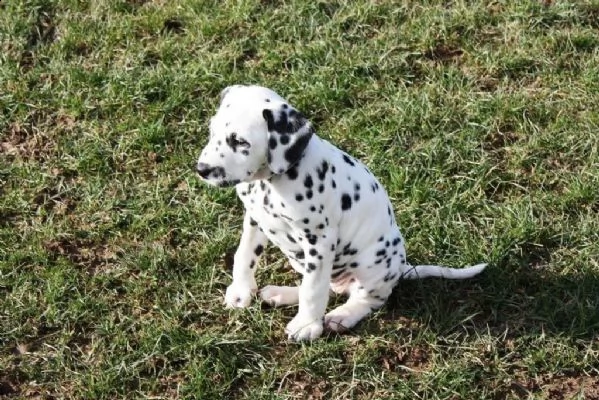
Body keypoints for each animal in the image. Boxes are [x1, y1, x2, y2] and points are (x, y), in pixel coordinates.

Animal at [197, 84, 488, 340]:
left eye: (239, 141)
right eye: (212, 131)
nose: (201, 169)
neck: (269, 182)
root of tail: (402, 267)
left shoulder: (318, 240)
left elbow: (313, 289)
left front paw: (307, 326)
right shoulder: (255, 220)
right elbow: (244, 255)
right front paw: (241, 291)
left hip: (371, 264)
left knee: (367, 298)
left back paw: (342, 316)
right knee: (328, 288)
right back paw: (281, 293)